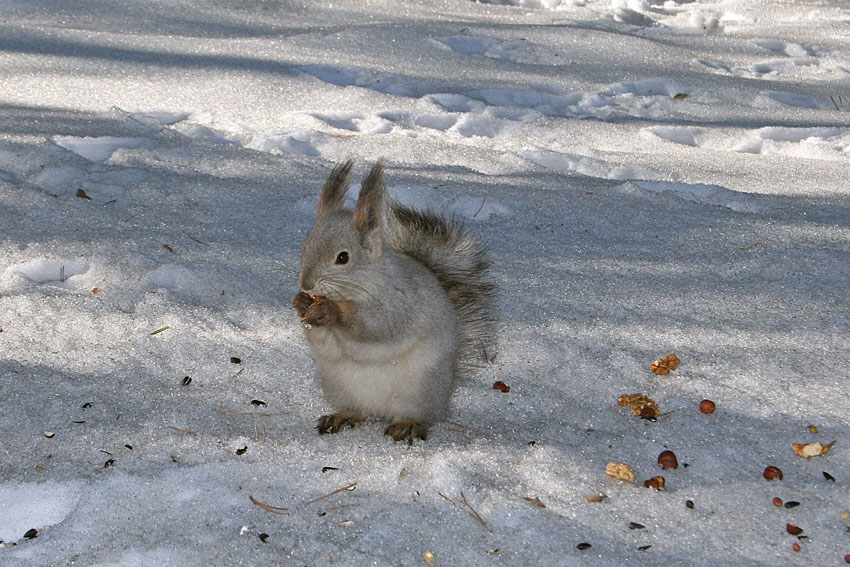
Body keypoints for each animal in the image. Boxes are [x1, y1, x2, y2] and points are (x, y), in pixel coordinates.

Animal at [292, 160, 490, 444]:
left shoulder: (399, 302)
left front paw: (331, 311)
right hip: (339, 386)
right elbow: (325, 345)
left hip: (419, 390)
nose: (306, 284)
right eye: (305, 247)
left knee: (418, 414)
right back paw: (342, 416)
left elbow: (375, 326)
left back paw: (408, 425)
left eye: (343, 257)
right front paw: (300, 303)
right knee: (358, 410)